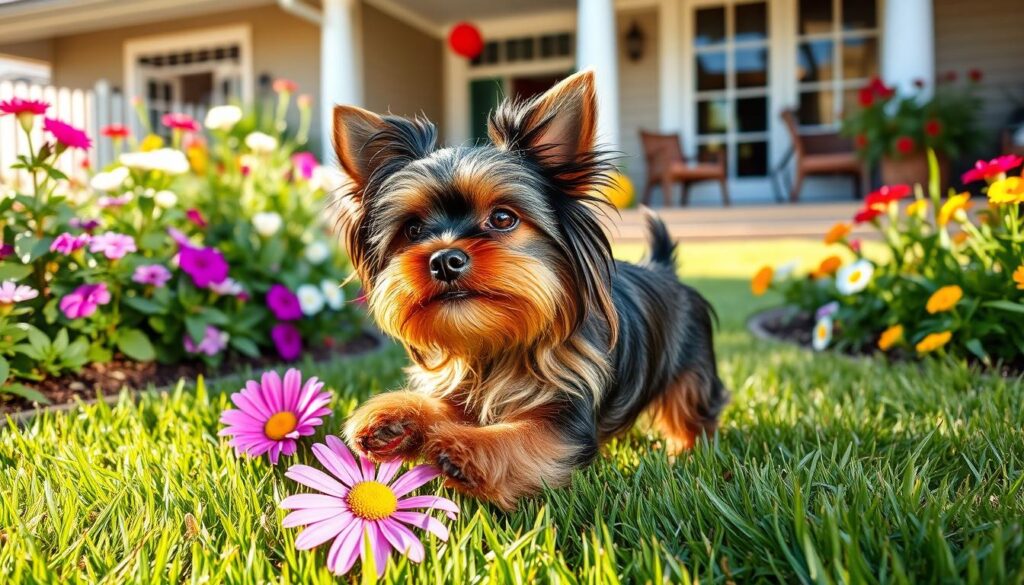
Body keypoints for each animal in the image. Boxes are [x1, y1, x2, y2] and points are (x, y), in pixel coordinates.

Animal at [331, 68, 724, 510]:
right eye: (413, 230)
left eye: (503, 218)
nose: (444, 259)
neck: (498, 343)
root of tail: (663, 268)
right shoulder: (464, 388)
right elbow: (444, 405)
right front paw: (394, 418)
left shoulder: (565, 420)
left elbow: (523, 437)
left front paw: (465, 450)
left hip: (693, 371)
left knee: (694, 411)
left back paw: (685, 452)